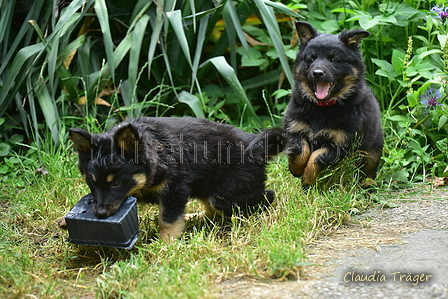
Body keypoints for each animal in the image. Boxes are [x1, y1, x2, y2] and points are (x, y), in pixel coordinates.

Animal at [68, 116, 286, 241]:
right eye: (92, 183)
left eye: (116, 183)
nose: (101, 214)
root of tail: (256, 148)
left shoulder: (174, 188)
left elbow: (168, 219)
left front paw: (165, 245)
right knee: (211, 210)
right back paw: (194, 216)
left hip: (226, 194)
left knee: (264, 198)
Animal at [284, 22, 384, 188]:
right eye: (310, 59)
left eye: (334, 60)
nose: (317, 73)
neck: (321, 108)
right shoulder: (294, 129)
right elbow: (300, 150)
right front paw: (297, 169)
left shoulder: (342, 142)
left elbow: (318, 157)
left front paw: (308, 177)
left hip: (373, 148)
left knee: (368, 169)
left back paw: (367, 187)